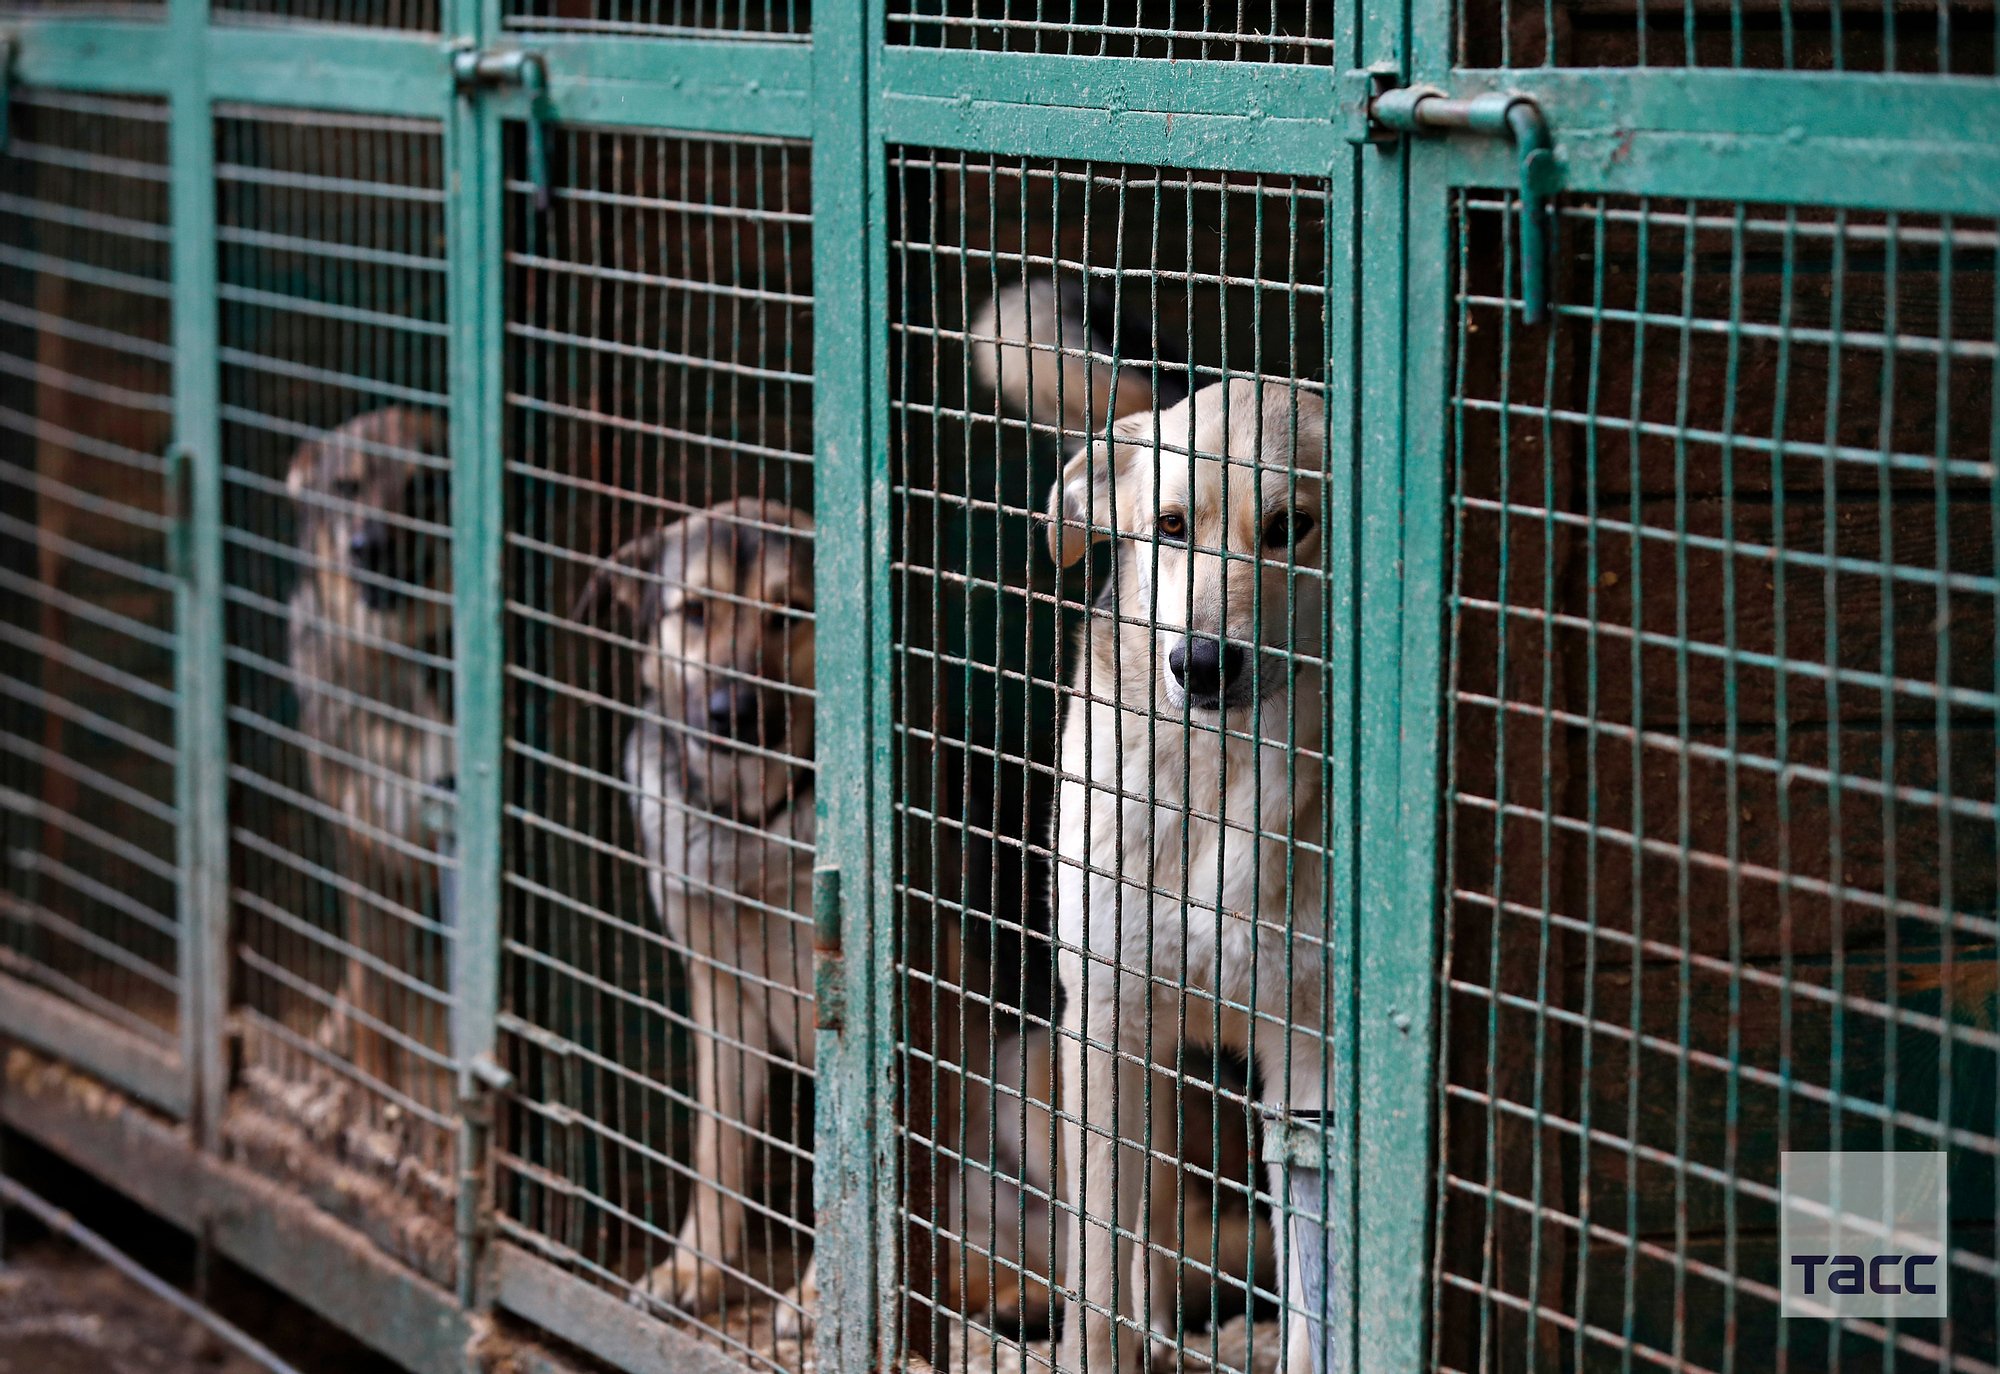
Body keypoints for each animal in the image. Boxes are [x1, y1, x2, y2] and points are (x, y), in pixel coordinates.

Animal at [1048, 378, 1328, 1374]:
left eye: (1290, 527)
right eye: (1170, 527)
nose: (1201, 665)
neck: (1218, 781)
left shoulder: (1311, 1063)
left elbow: (1317, 1291)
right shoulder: (1102, 1024)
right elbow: (1098, 1270)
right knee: (1152, 1220)